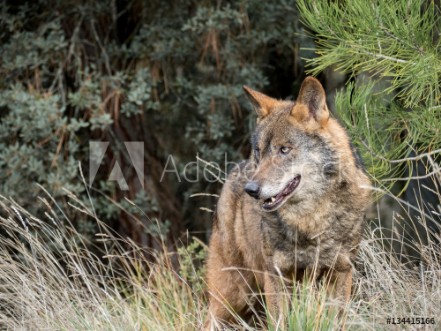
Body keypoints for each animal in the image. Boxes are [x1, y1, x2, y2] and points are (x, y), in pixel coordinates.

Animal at [205, 76, 370, 330]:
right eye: (259, 151)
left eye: (284, 149)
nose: (251, 190)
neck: (310, 221)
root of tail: (235, 170)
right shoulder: (277, 276)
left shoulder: (341, 272)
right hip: (232, 298)